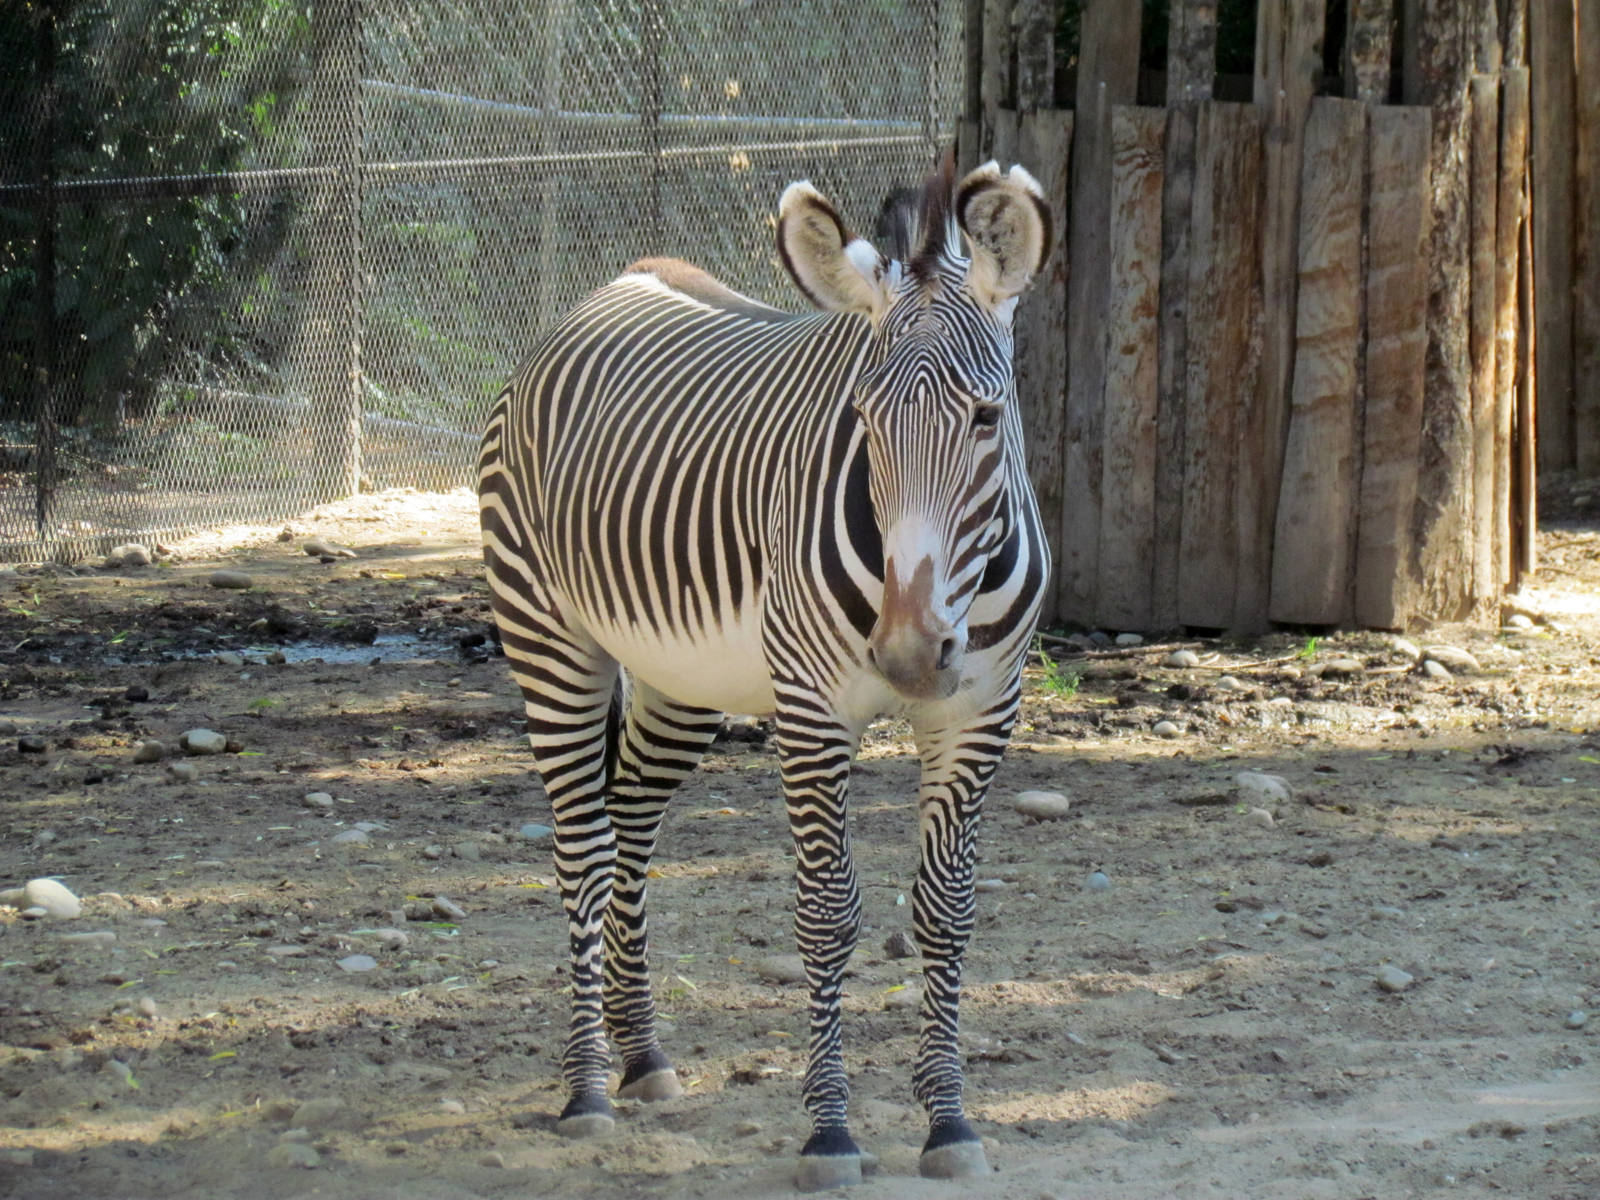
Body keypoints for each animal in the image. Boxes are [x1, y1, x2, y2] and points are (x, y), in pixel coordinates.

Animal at [477, 156, 1052, 1190]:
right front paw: (830, 1133)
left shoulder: (985, 710)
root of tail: (620, 280)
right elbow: (826, 912)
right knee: (584, 847)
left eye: (988, 418)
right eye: (861, 420)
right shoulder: (814, 708)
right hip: (549, 638)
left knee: (631, 825)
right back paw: (585, 1091)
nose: (909, 655)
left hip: (680, 680)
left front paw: (949, 1122)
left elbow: (945, 911)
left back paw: (642, 1057)